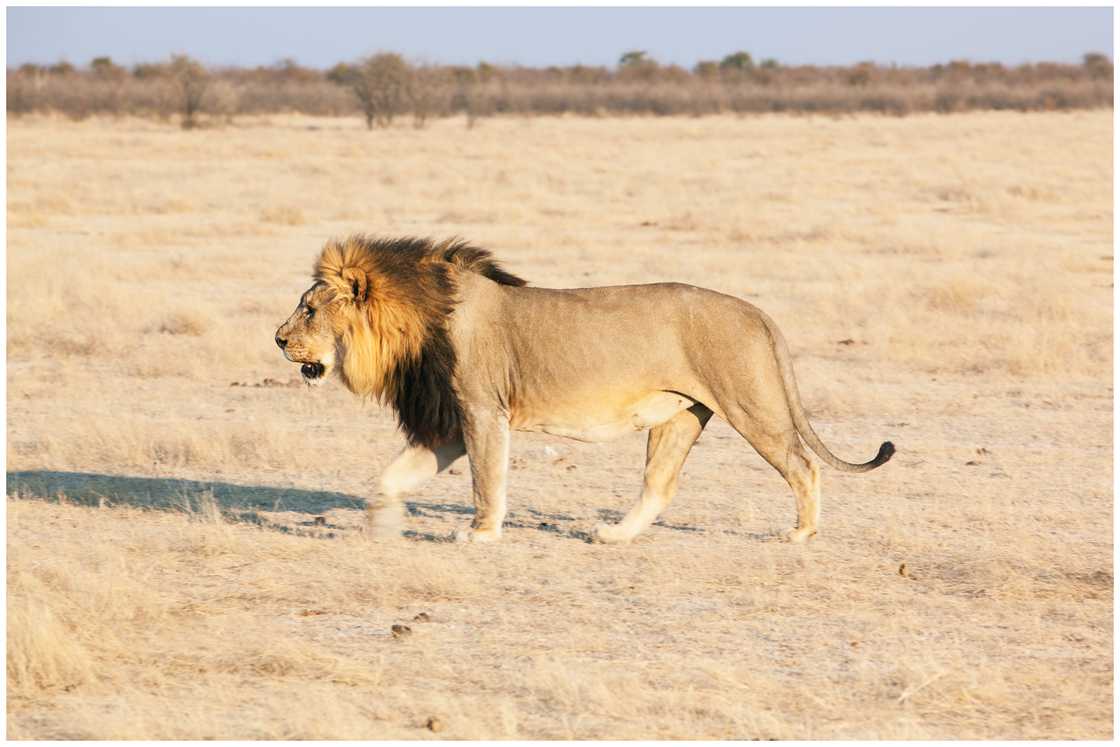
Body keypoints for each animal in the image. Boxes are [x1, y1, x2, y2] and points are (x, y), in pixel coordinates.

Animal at [275, 235, 894, 544]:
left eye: (309, 309)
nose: (279, 340)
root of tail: (759, 312)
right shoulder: (451, 420)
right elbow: (389, 478)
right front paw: (382, 527)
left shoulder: (482, 409)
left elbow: (487, 481)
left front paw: (481, 535)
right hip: (680, 416)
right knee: (659, 487)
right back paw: (614, 536)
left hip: (751, 405)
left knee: (802, 464)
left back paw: (801, 533)